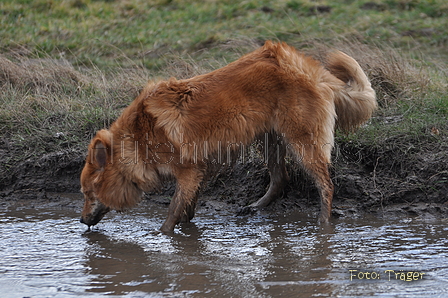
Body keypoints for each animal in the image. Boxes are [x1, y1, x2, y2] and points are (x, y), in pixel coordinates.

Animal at [79, 41, 374, 233]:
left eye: (88, 193)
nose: (80, 220)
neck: (138, 138)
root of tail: (308, 68)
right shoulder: (199, 172)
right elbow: (187, 209)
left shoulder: (188, 172)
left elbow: (172, 211)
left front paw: (161, 235)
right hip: (268, 140)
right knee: (281, 179)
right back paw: (256, 207)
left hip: (302, 145)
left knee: (326, 186)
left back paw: (323, 223)